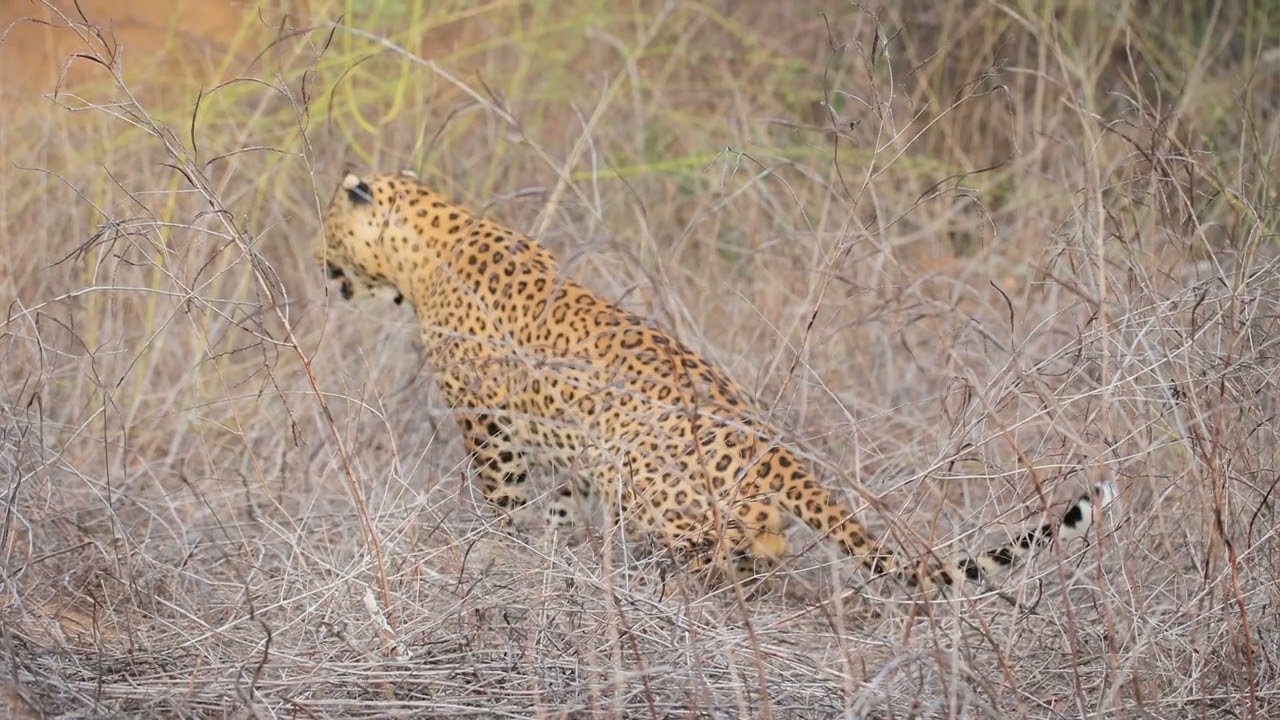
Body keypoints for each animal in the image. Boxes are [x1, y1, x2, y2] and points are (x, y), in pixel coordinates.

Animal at [316, 169, 1114, 595]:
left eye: (327, 234)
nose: (323, 273)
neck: (431, 240)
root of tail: (774, 449)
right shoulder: (567, 449)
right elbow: (562, 509)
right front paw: (557, 560)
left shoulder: (488, 430)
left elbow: (505, 505)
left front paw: (502, 559)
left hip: (653, 491)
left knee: (737, 548)